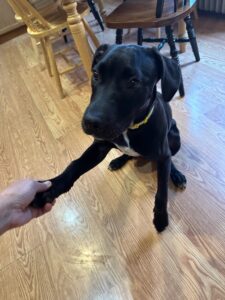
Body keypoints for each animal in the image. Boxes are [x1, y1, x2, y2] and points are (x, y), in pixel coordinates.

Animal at [31, 44, 186, 232]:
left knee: (170, 159)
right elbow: (74, 165)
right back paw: (118, 161)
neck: (130, 128)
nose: (90, 122)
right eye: (96, 75)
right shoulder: (99, 147)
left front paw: (161, 217)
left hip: (174, 139)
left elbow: (162, 191)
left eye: (133, 81)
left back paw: (176, 175)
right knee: (128, 154)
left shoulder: (163, 155)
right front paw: (50, 188)